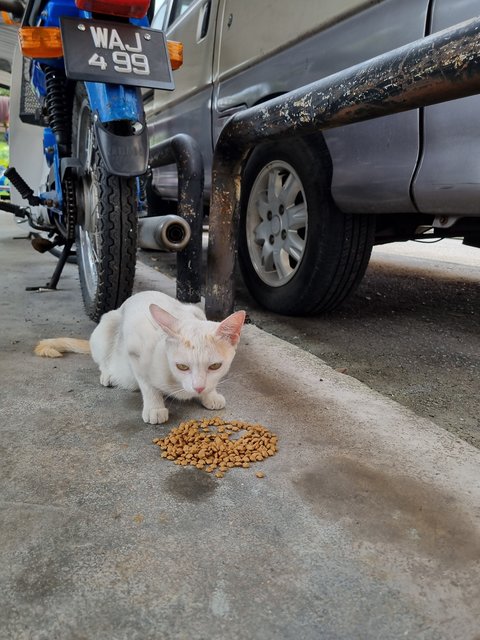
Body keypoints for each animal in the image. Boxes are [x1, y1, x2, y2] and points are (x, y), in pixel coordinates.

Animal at [35, 292, 246, 424]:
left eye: (215, 366)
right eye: (182, 367)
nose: (199, 387)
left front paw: (210, 394)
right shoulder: (135, 349)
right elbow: (147, 383)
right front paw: (154, 407)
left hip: (194, 309)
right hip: (107, 326)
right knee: (103, 359)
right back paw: (108, 374)